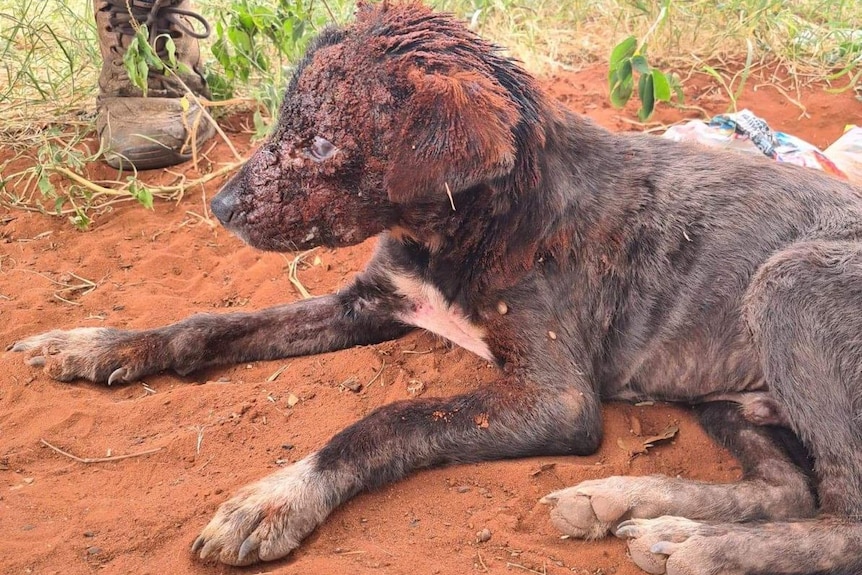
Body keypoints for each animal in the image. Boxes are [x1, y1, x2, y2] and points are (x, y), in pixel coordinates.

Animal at [10, 2, 862, 572]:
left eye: (323, 143)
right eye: (283, 123)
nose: (217, 207)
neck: (470, 225)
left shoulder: (554, 397)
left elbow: (387, 421)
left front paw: (278, 496)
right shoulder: (371, 300)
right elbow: (208, 323)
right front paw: (96, 343)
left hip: (786, 283)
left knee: (843, 520)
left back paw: (695, 542)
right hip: (728, 393)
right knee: (790, 489)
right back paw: (624, 504)